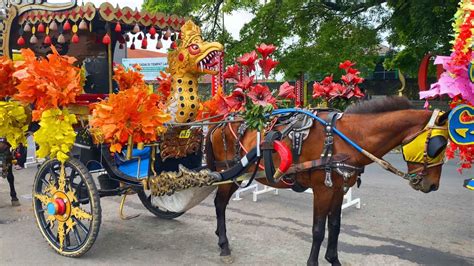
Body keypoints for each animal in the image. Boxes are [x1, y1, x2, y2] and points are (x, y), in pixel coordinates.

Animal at [206, 97, 448, 264]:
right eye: (438, 146)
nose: (433, 185)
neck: (345, 138)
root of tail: (220, 123)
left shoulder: (339, 189)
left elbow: (335, 226)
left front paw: (334, 259)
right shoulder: (323, 189)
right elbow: (318, 230)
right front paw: (313, 262)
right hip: (227, 173)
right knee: (220, 204)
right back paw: (224, 245)